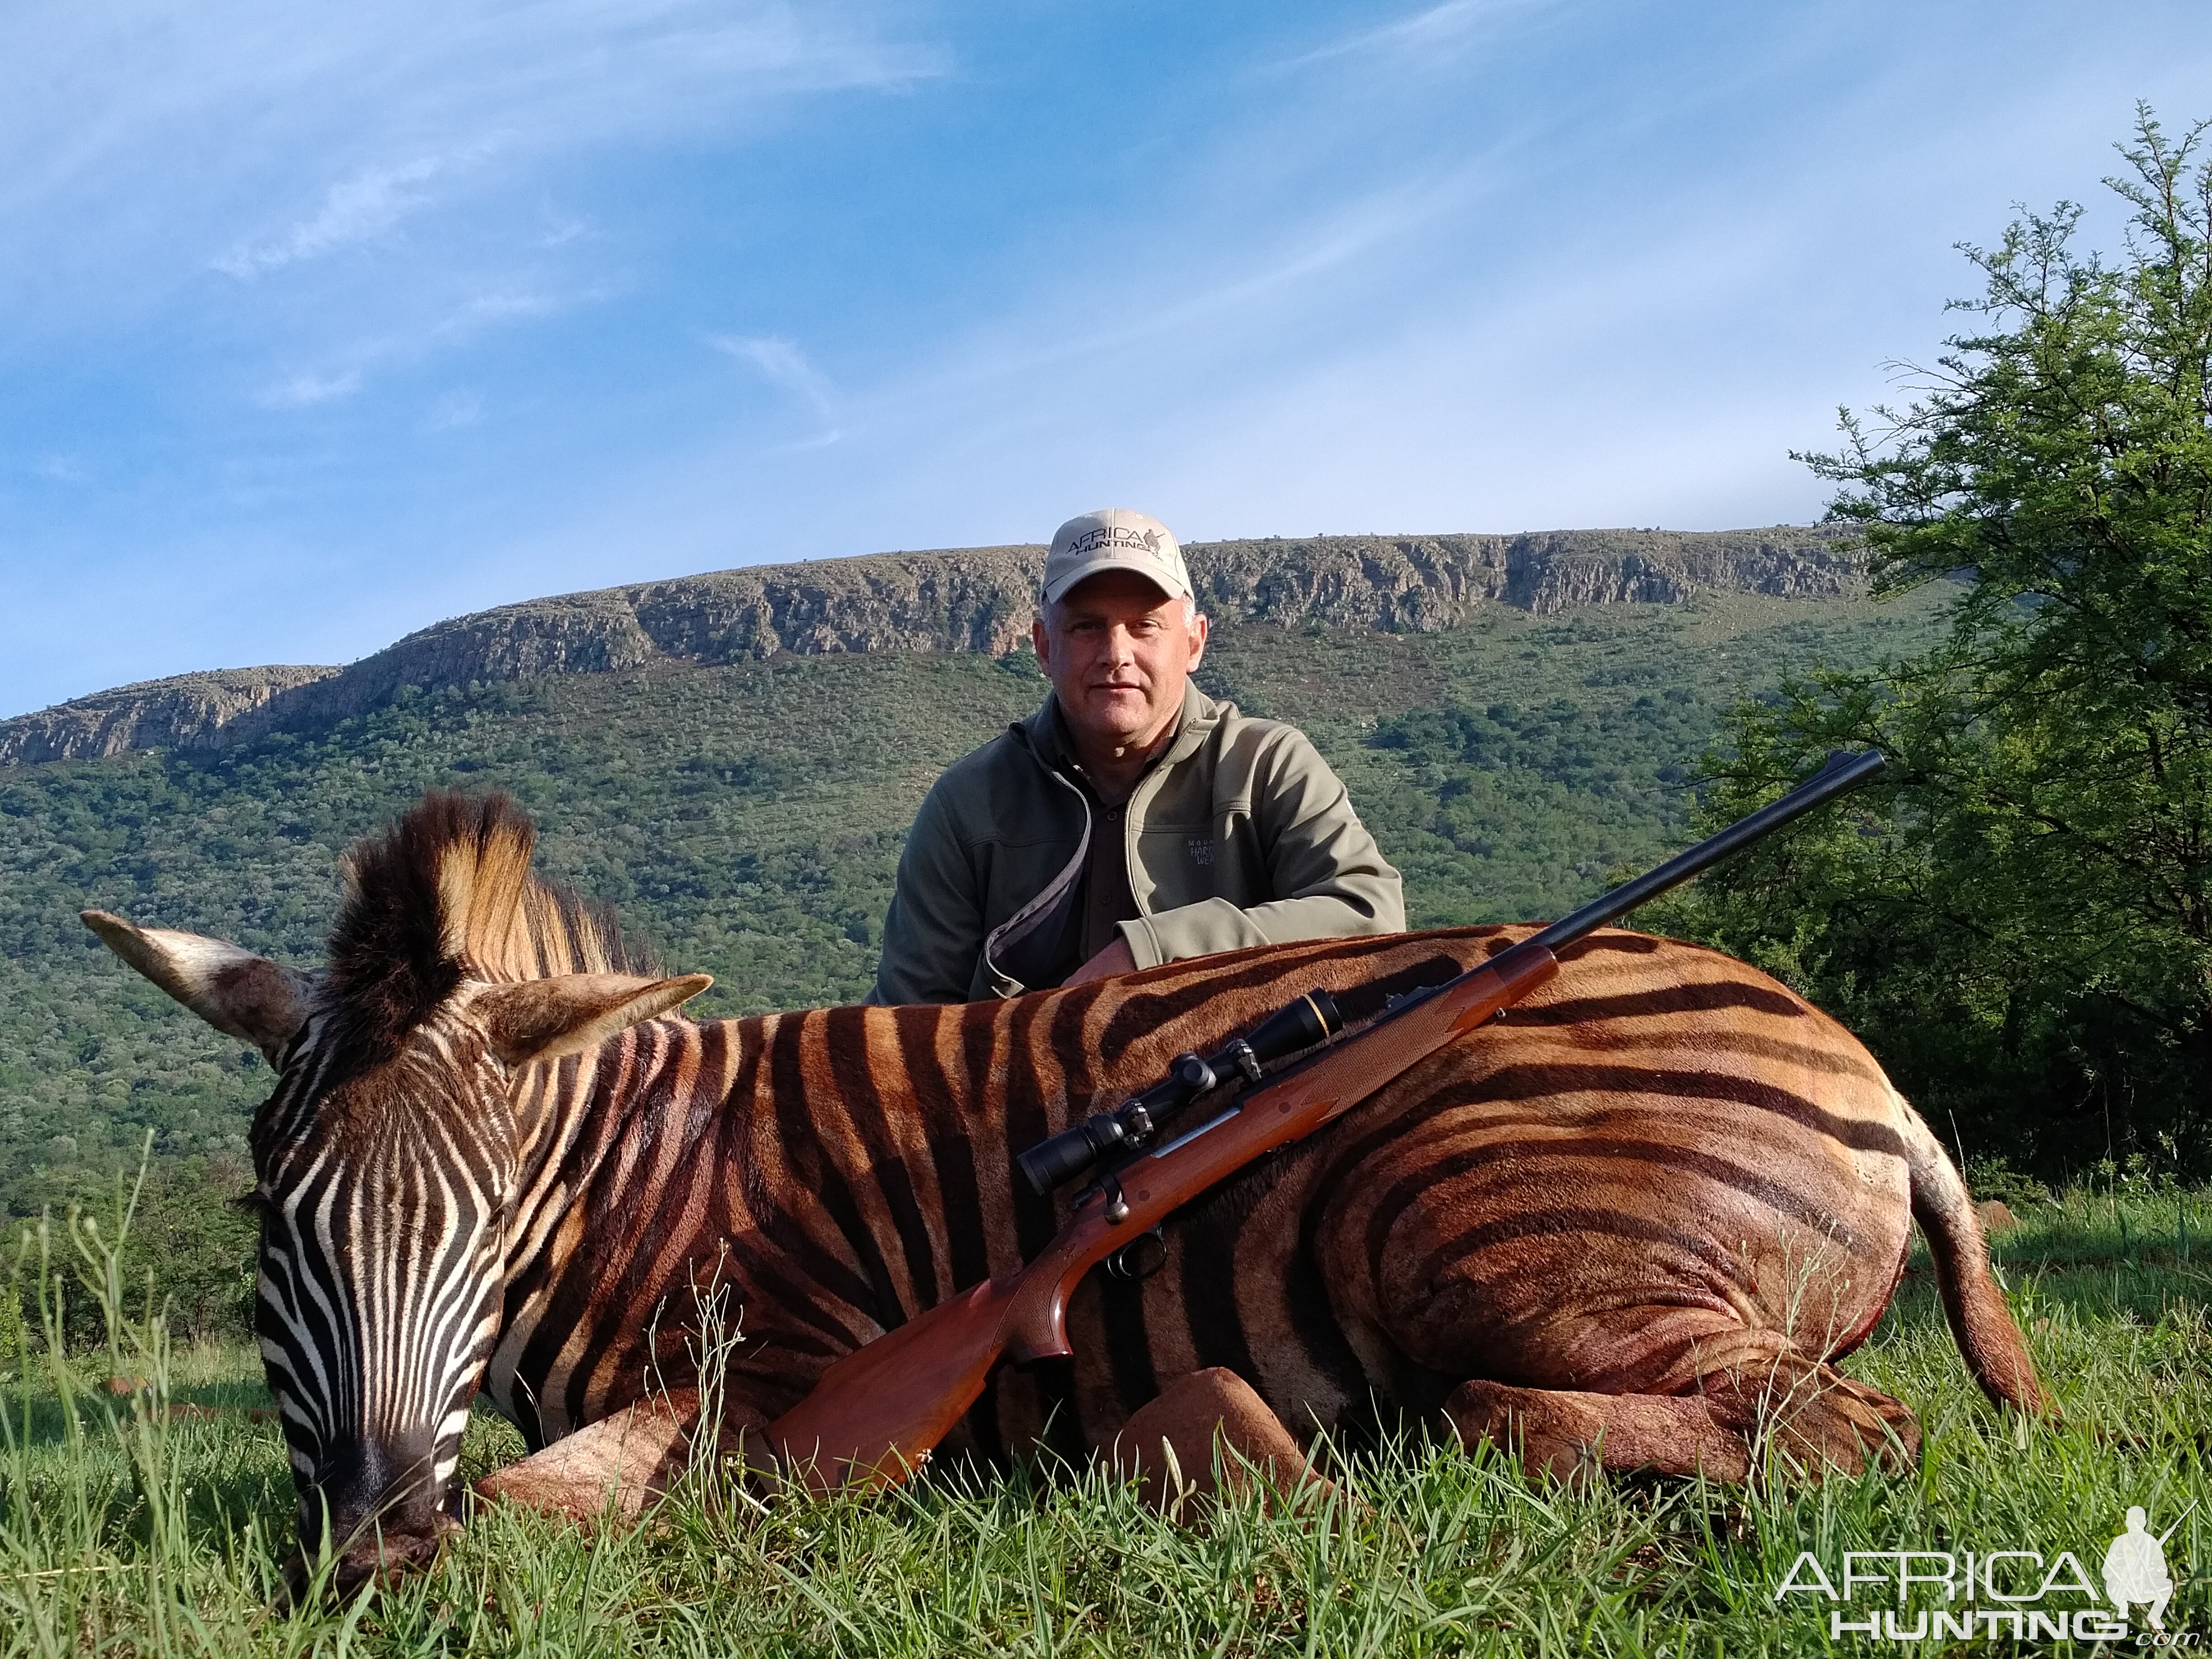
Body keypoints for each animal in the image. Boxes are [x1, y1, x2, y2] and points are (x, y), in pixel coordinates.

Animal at [90, 796, 2053, 1601]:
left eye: (484, 1216)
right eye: (271, 1217)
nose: (369, 1543)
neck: (637, 1170)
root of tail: (1867, 1072)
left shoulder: (778, 1379)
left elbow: (544, 1504)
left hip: (1452, 1214)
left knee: (1834, 1432)